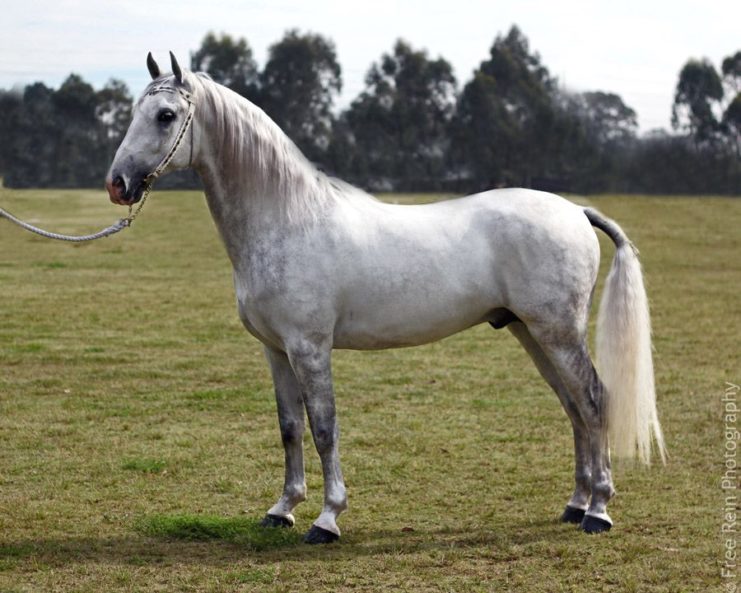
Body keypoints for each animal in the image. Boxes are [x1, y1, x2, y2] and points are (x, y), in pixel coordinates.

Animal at [104, 53, 664, 544]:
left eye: (166, 115)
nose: (117, 184)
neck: (288, 218)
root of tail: (575, 211)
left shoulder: (310, 348)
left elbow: (324, 427)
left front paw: (327, 519)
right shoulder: (276, 350)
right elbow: (289, 428)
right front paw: (281, 510)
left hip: (557, 331)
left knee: (594, 400)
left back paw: (598, 511)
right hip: (533, 333)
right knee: (574, 407)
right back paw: (575, 505)